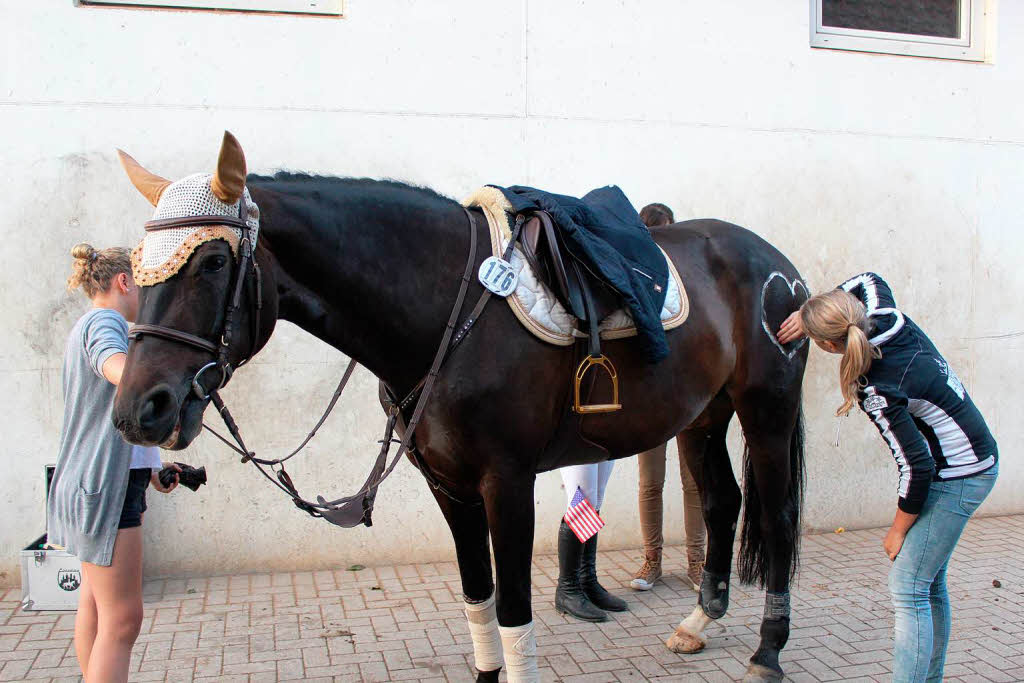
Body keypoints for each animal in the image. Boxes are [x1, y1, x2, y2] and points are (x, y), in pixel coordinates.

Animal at [114, 135, 806, 683]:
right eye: (137, 265)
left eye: (212, 261)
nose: (139, 409)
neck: (447, 308)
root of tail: (778, 268)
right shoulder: (448, 485)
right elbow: (479, 599)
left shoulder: (508, 482)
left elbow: (514, 611)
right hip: (704, 418)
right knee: (723, 503)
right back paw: (697, 623)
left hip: (767, 411)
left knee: (776, 516)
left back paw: (768, 653)